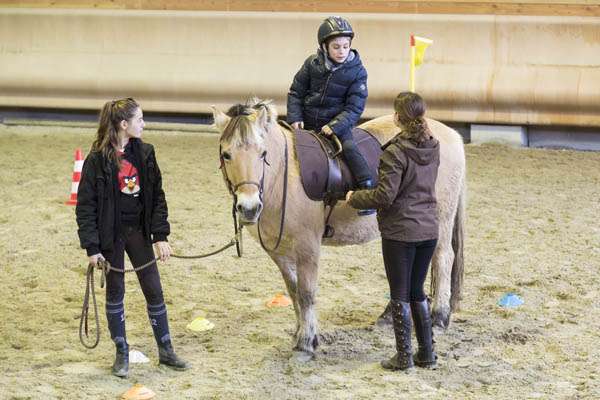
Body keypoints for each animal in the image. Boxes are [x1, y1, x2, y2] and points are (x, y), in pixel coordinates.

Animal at [213, 97, 466, 360]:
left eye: (262, 153)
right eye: (227, 154)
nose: (249, 208)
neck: (283, 175)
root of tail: (452, 135)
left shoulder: (308, 246)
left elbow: (306, 293)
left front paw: (306, 342)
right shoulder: (278, 251)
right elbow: (293, 291)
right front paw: (301, 333)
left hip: (440, 220)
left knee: (443, 259)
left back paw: (439, 317)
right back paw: (389, 315)